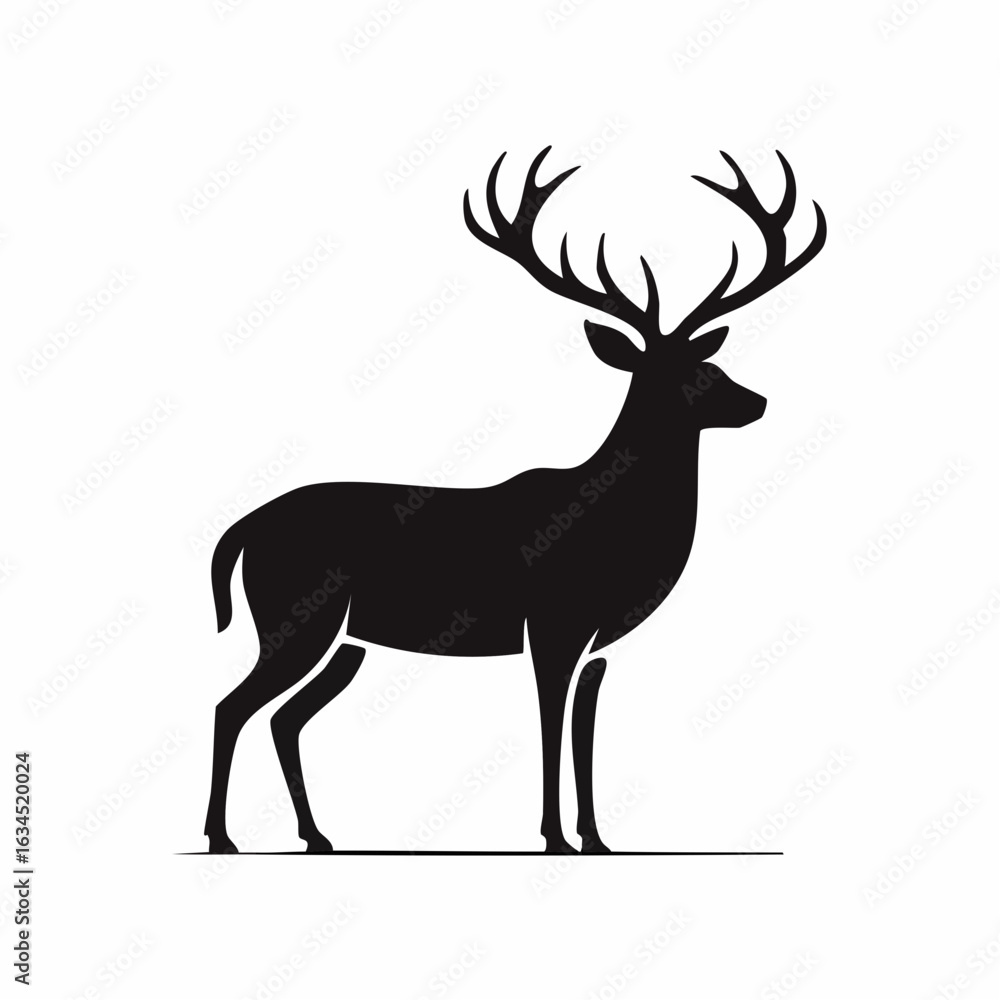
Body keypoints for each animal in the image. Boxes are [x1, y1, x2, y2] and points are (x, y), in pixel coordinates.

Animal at [203, 147, 826, 855]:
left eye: (708, 362)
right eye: (676, 374)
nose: (757, 401)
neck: (617, 525)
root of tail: (242, 530)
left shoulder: (597, 644)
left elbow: (584, 729)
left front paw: (596, 839)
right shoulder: (551, 619)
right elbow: (550, 722)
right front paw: (554, 836)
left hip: (345, 640)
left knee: (284, 718)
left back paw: (318, 835)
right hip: (295, 615)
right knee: (232, 705)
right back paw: (222, 837)